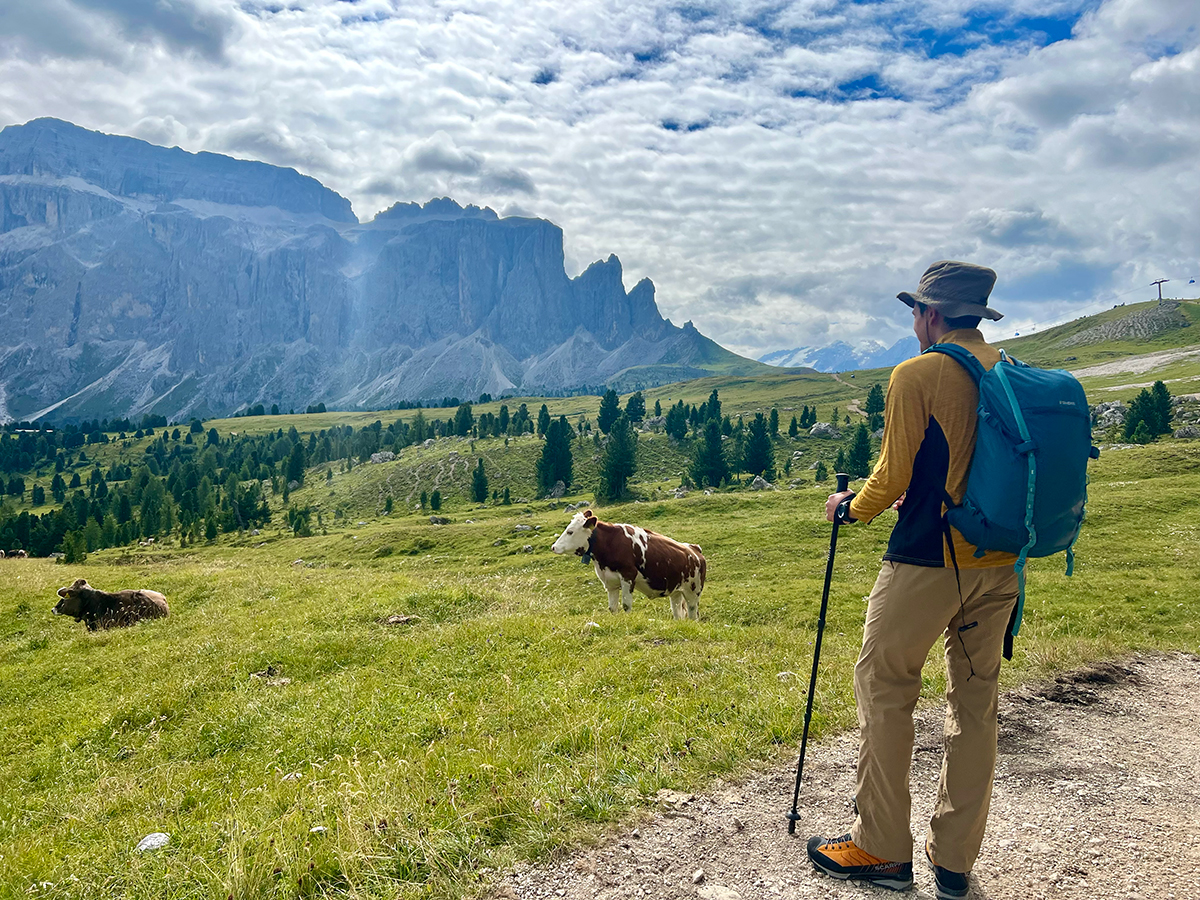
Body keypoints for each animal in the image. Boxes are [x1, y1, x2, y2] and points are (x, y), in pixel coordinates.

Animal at [549, 511, 705, 624]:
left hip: (693, 592)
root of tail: (694, 549)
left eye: (570, 531)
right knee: (678, 612)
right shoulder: (610, 582)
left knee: (693, 614)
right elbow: (612, 608)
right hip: (676, 592)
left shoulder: (628, 576)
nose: (553, 547)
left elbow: (626, 605)